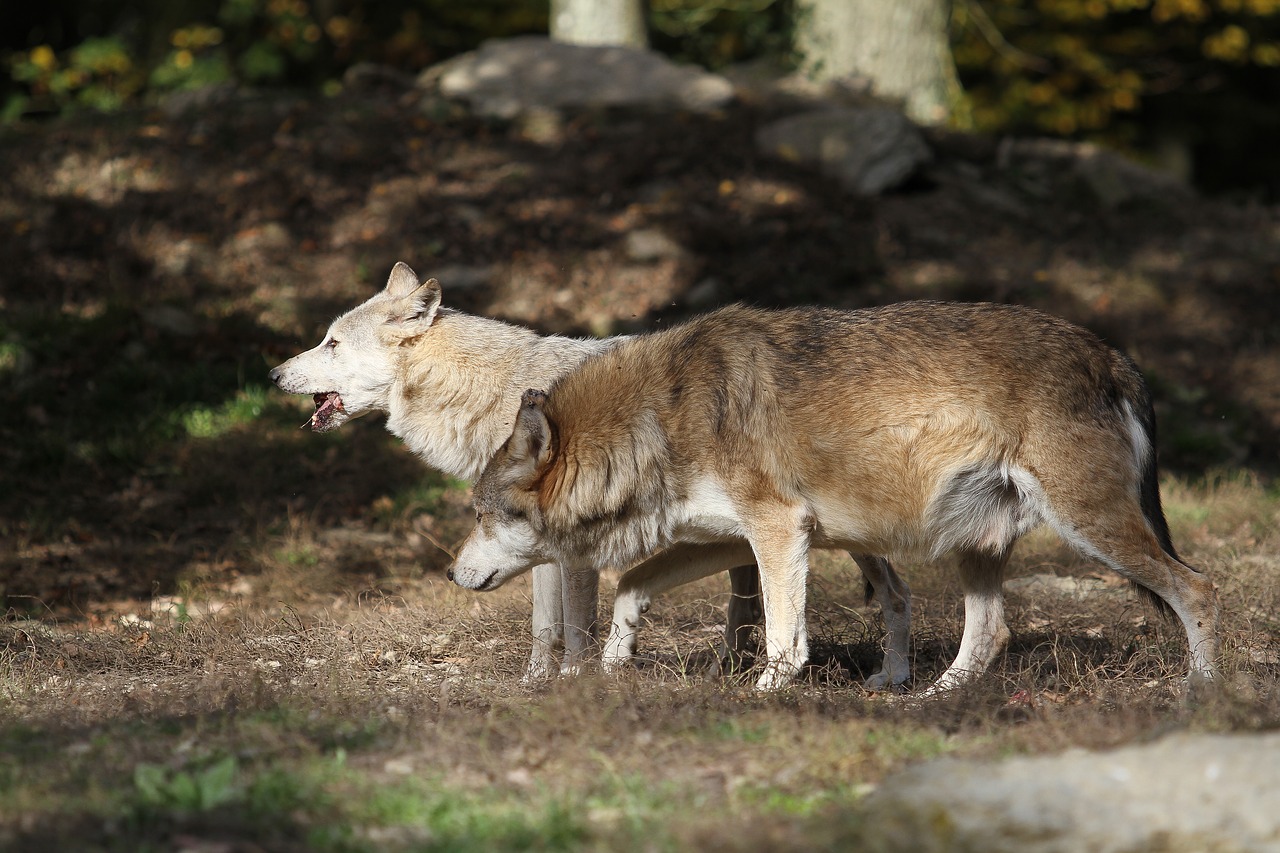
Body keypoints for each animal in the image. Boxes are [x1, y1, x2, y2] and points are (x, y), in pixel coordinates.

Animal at [264, 263, 916, 686]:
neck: (498, 395)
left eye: (331, 343)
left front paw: (577, 679)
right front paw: (535, 684)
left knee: (893, 593)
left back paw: (889, 678)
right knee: (770, 600)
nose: (271, 374)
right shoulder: (541, 546)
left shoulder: (572, 548)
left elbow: (574, 626)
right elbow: (542, 626)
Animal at [450, 302, 1218, 686]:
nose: (453, 574)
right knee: (991, 632)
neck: (661, 415)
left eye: (482, 514)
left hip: (1092, 528)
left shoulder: (777, 529)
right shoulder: (736, 538)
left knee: (1197, 589)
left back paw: (1203, 693)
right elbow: (634, 585)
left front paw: (763, 695)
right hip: (977, 544)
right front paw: (613, 663)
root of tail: (1113, 355)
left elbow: (785, 642)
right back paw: (933, 699)